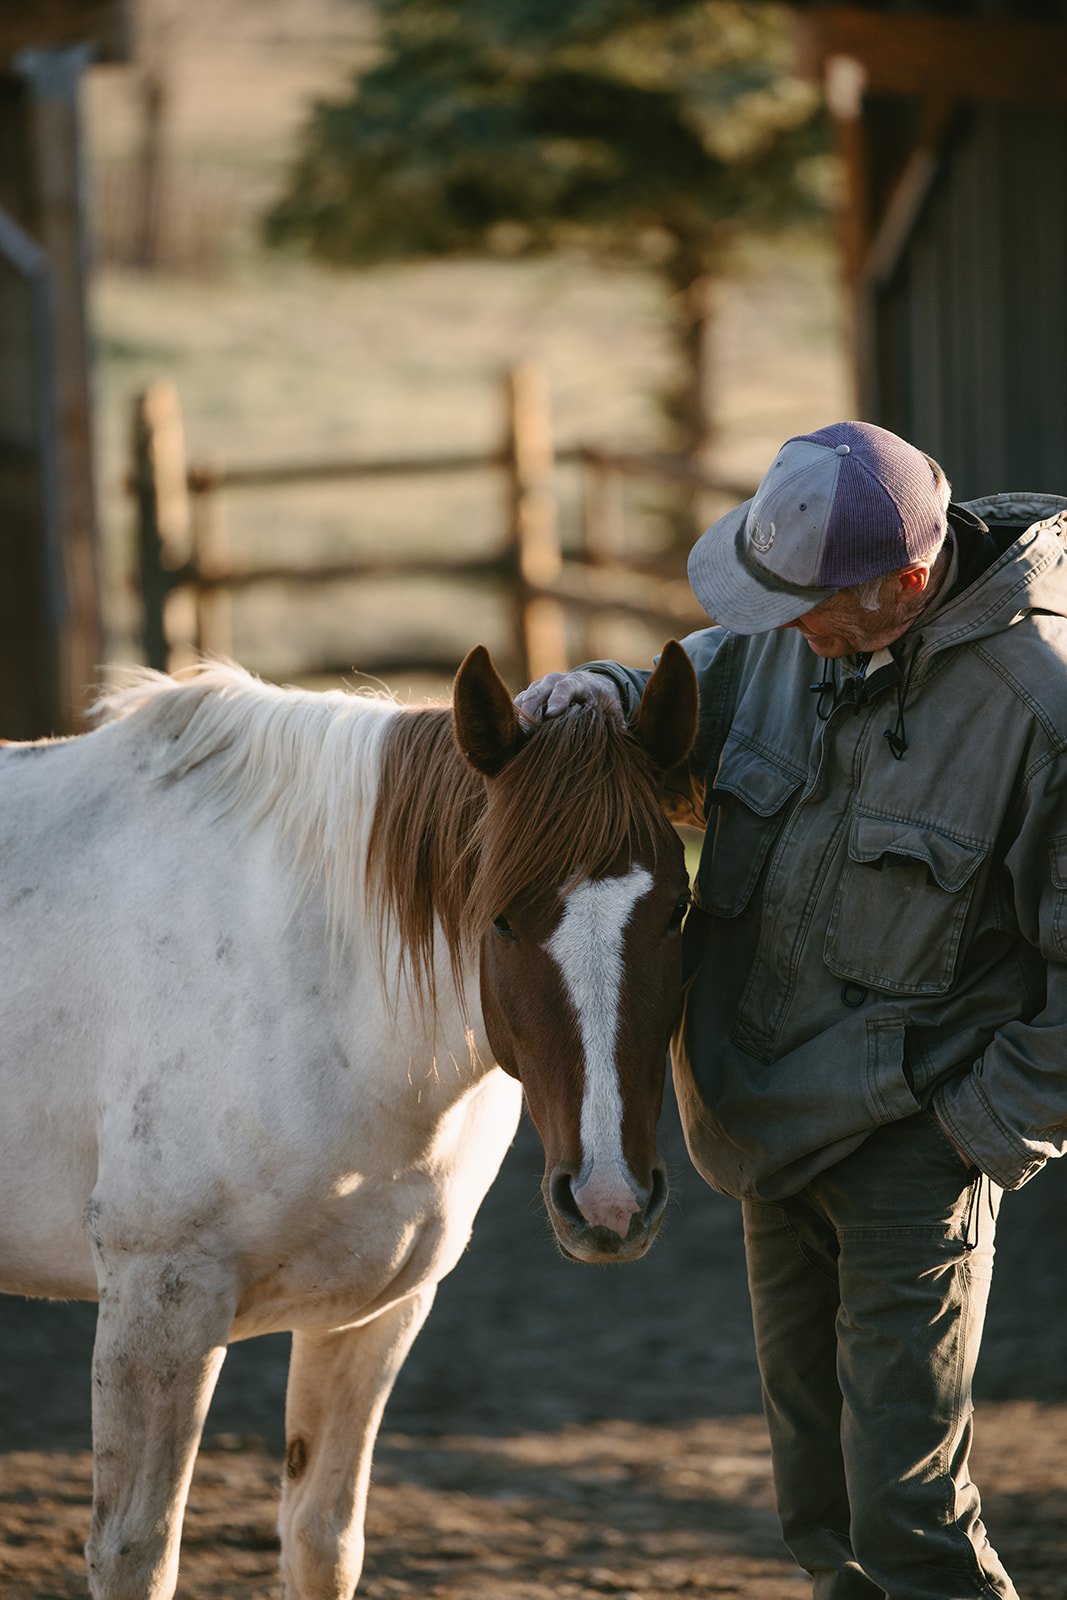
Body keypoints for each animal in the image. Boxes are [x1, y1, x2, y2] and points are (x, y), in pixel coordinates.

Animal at [0, 639, 697, 1600]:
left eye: (678, 910)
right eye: (500, 918)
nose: (608, 1200)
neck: (318, 978)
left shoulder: (370, 1314)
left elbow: (323, 1541)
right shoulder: (159, 1304)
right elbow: (137, 1551)